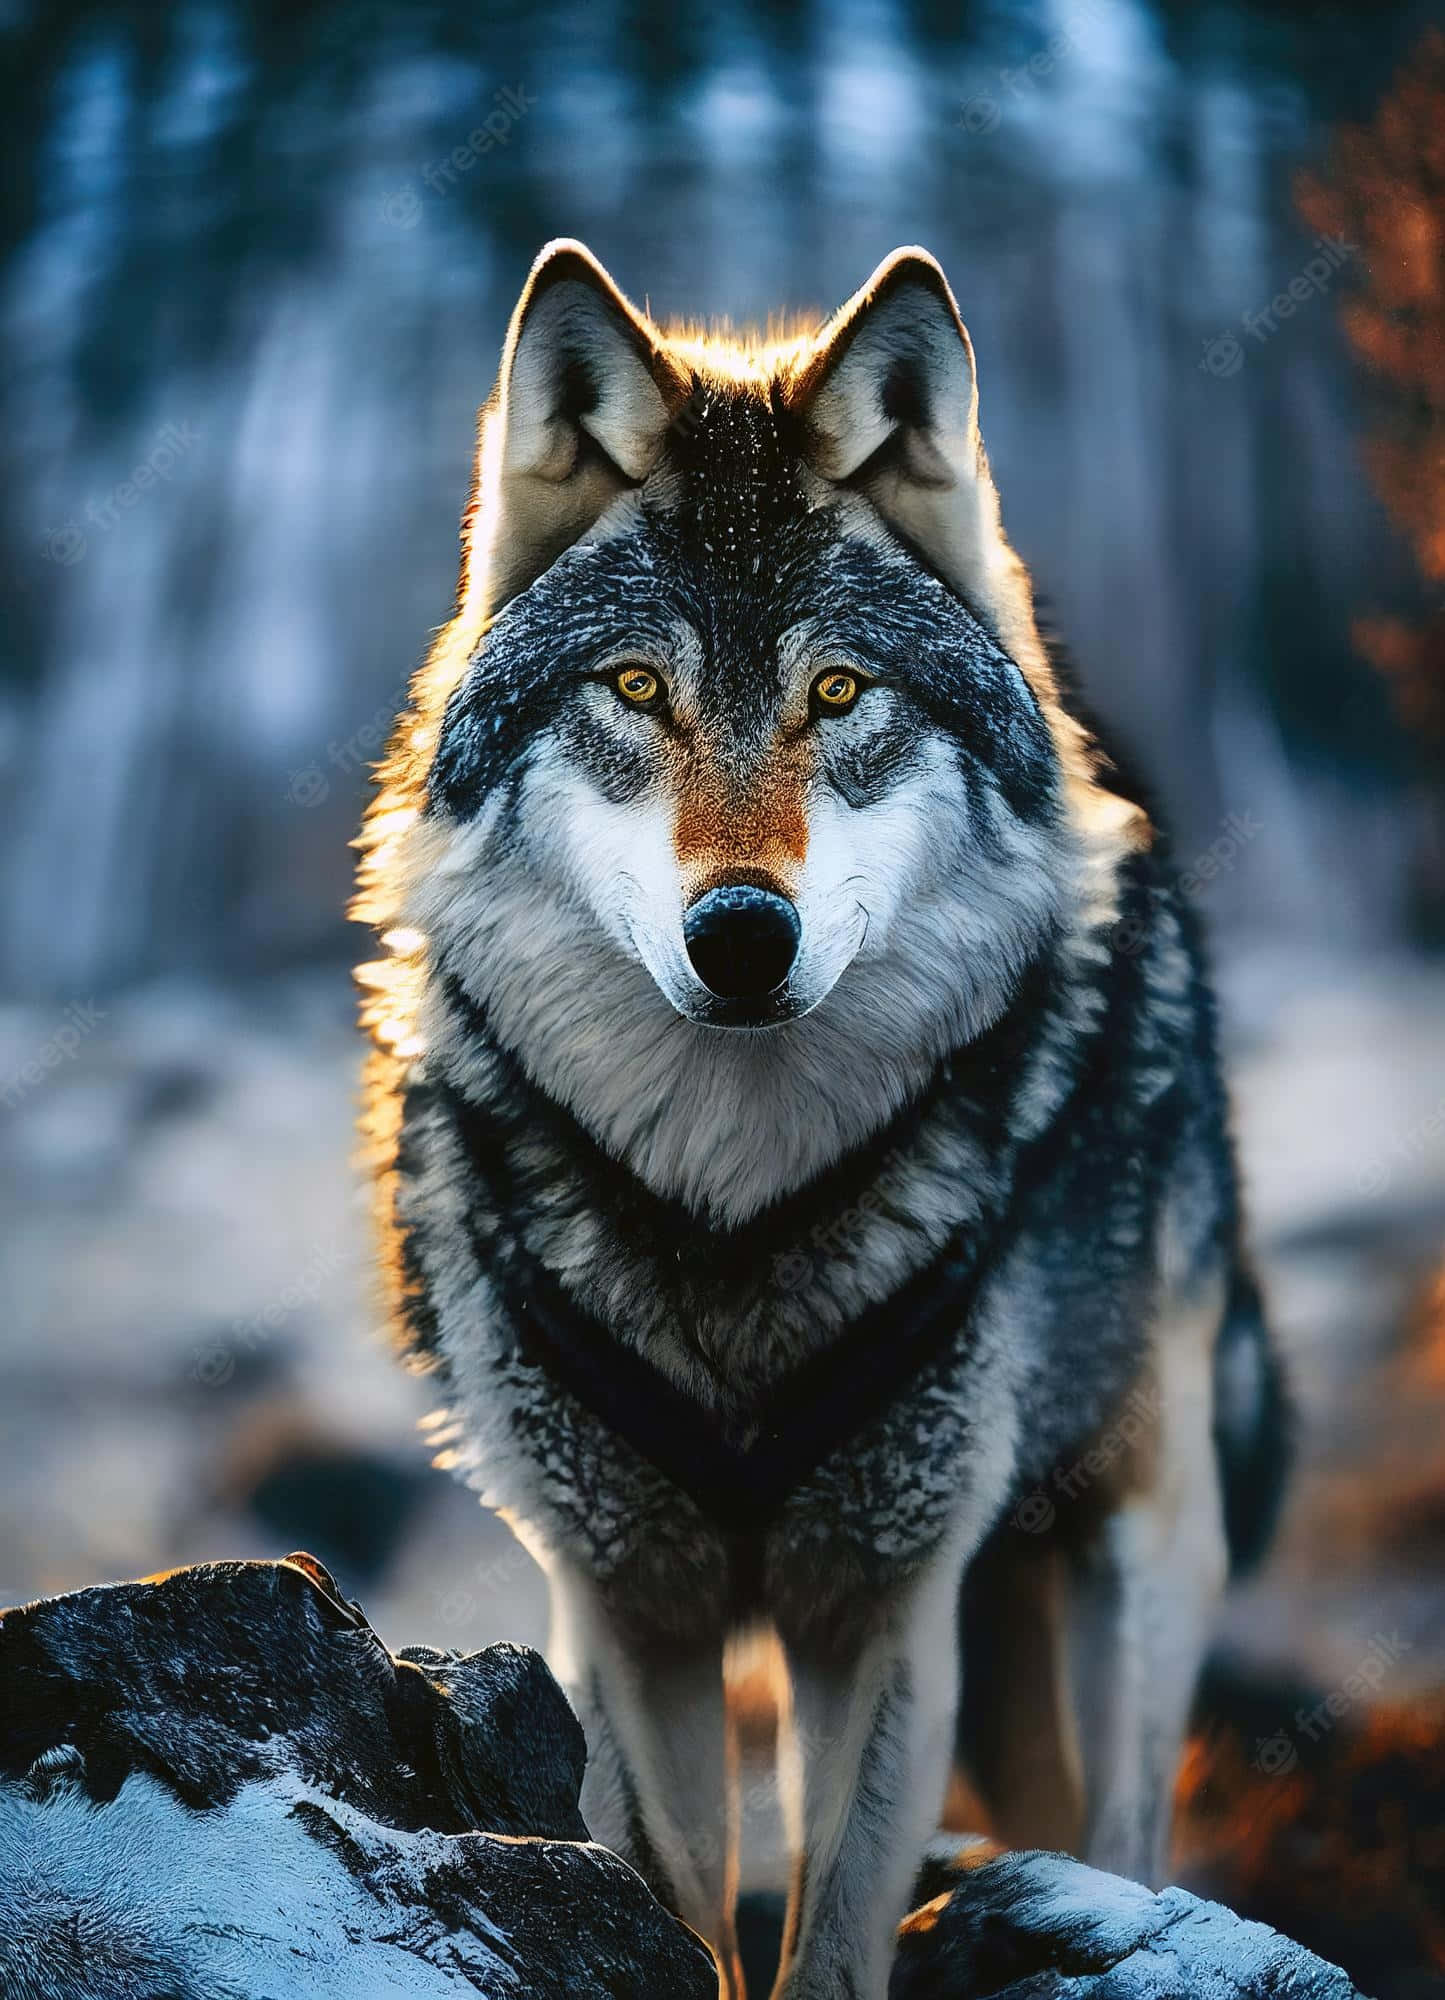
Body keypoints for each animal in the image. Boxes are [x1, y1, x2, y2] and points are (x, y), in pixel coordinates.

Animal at [356, 239, 1288, 2000]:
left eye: (838, 692)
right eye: (636, 688)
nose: (741, 935)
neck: (734, 1208)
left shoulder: (880, 1602)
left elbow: (836, 1931)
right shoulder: (627, 1607)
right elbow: (686, 1894)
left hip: (1129, 1554)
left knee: (1126, 1817)